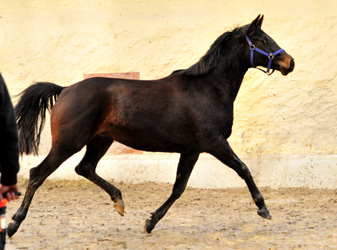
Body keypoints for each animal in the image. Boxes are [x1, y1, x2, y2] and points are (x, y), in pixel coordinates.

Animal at [8, 15, 294, 236]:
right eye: (262, 40)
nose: (289, 62)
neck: (208, 88)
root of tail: (65, 89)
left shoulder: (192, 150)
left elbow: (178, 188)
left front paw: (150, 222)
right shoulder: (215, 143)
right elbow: (243, 169)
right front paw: (263, 208)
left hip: (101, 140)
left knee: (84, 168)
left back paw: (119, 201)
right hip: (69, 142)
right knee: (37, 174)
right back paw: (13, 225)